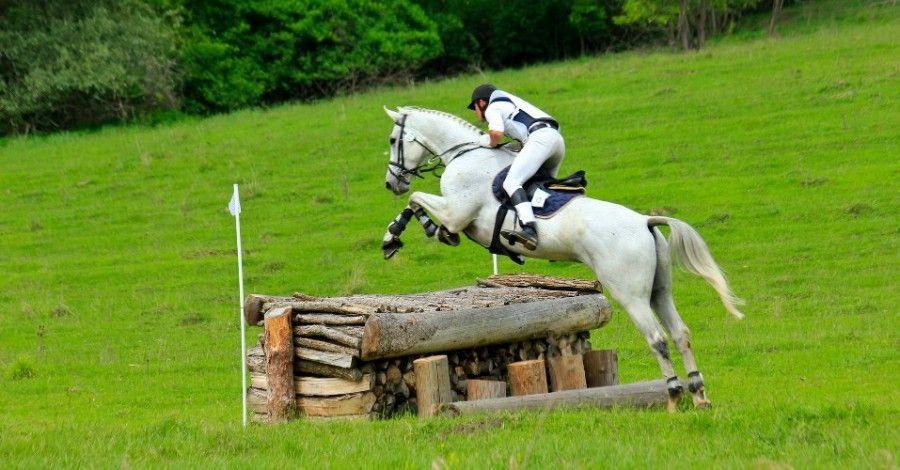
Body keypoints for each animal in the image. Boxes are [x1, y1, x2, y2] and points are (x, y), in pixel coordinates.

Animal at [380, 106, 744, 409]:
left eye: (393, 139)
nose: (391, 182)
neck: (464, 154)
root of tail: (645, 222)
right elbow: (416, 202)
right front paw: (406, 234)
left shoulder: (457, 213)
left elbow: (417, 199)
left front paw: (396, 235)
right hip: (659, 291)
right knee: (681, 334)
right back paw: (699, 396)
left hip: (630, 294)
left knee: (657, 339)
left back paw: (672, 396)